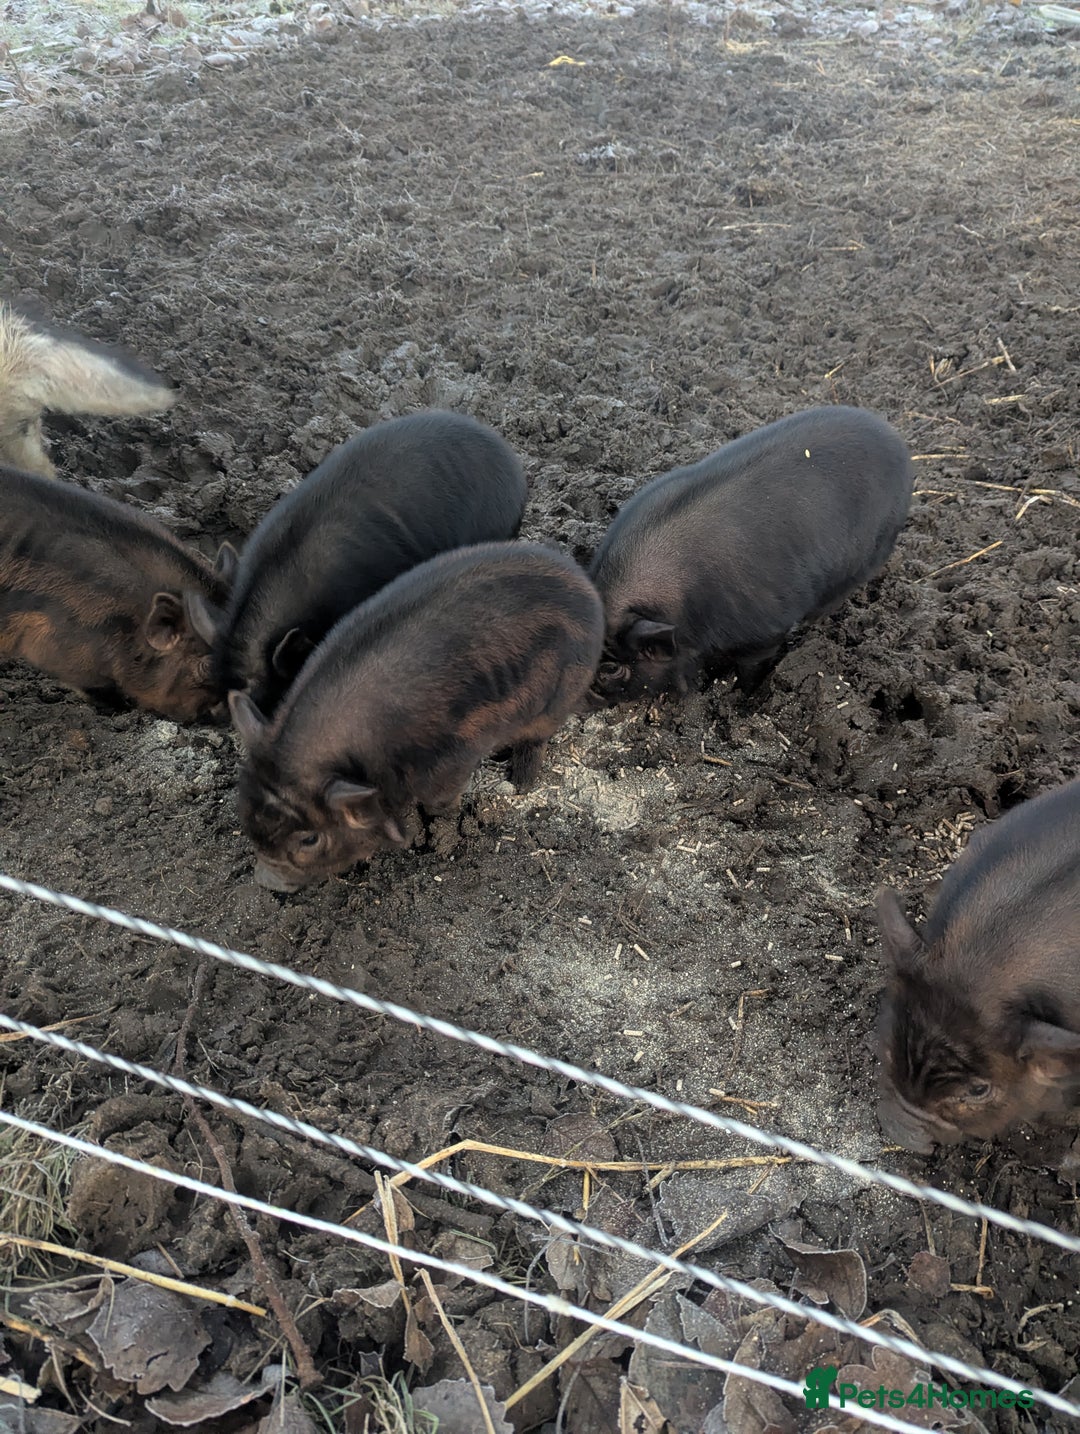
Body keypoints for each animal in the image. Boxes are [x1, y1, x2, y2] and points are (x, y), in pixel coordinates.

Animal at [228, 542, 604, 891]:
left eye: (309, 839)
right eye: (244, 811)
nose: (266, 881)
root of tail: (588, 590)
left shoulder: (452, 758)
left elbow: (440, 801)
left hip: (554, 701)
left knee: (536, 741)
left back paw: (519, 782)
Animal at [588, 406, 913, 704]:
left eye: (612, 669)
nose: (585, 701)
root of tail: (900, 447)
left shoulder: (765, 631)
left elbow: (750, 667)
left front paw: (742, 695)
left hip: (874, 549)